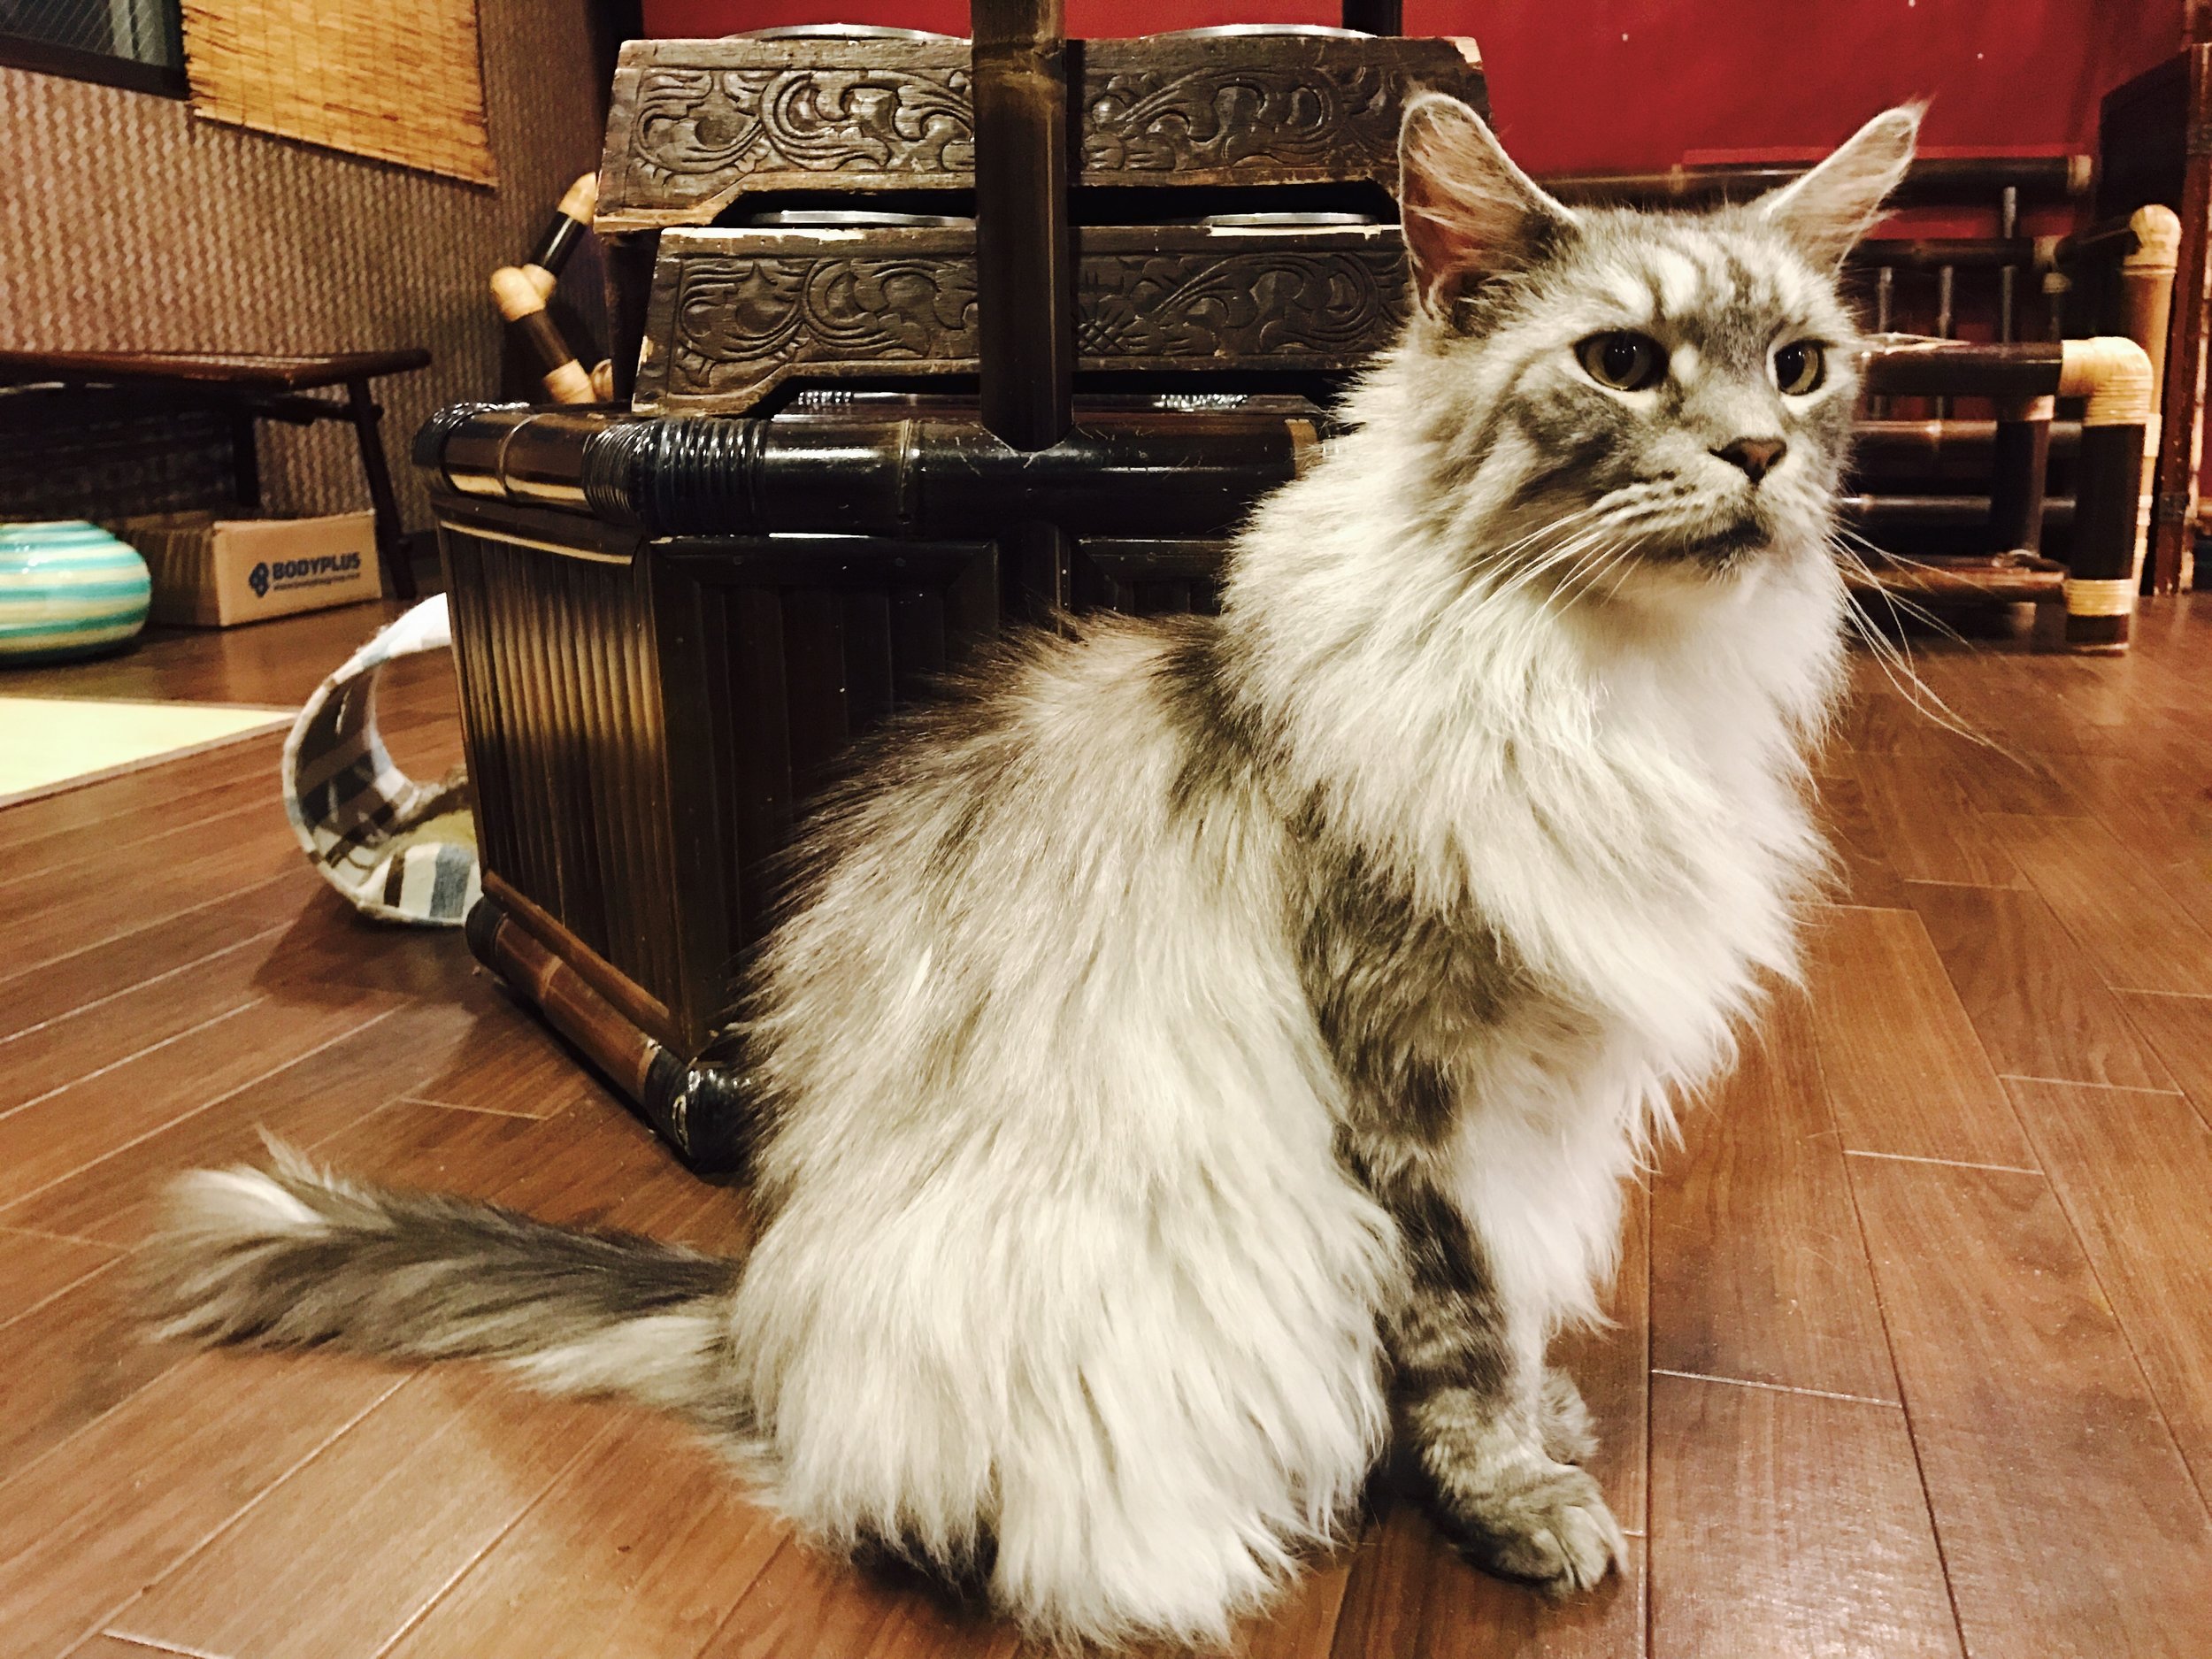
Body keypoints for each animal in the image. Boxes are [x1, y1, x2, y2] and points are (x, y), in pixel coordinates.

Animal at [151, 100, 1920, 1655]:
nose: (1759, 453)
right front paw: (1518, 1500)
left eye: (1802, 366)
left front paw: (1548, 1421)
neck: (1606, 685)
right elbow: (1465, 1335)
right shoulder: (1413, 1100)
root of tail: (761, 1310)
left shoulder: (1543, 1103)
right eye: (1622, 362)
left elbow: (1526, 1298)